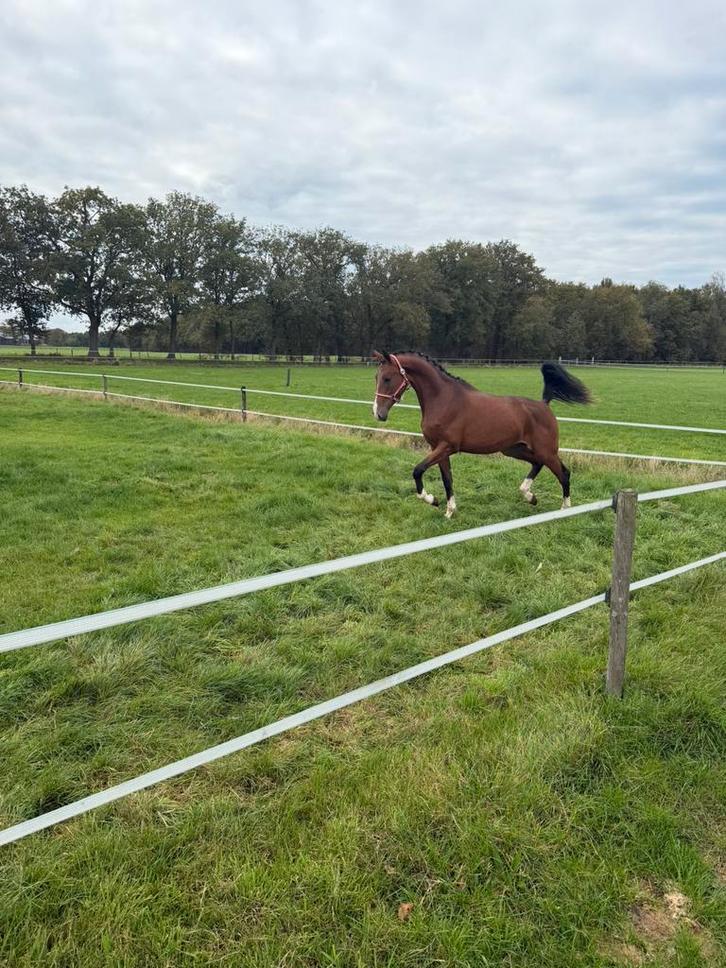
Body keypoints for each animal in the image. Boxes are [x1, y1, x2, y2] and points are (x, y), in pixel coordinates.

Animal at [371, 351, 592, 518]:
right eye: (376, 377)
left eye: (388, 378)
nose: (378, 413)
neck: (444, 399)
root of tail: (544, 404)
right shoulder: (438, 449)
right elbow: (447, 480)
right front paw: (449, 511)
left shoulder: (446, 447)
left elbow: (417, 470)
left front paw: (432, 500)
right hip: (513, 449)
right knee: (538, 464)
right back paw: (530, 496)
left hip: (546, 450)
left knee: (563, 473)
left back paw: (564, 509)